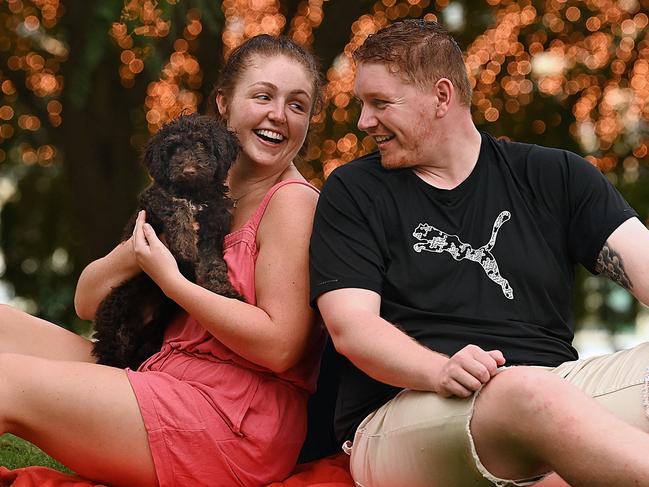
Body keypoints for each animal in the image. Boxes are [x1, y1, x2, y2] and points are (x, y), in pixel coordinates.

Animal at [91, 113, 240, 370]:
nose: (188, 170)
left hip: (153, 333)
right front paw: (184, 243)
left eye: (202, 144)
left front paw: (224, 291)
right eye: (174, 148)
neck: (194, 193)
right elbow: (175, 205)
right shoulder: (153, 199)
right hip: (117, 314)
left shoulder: (212, 231)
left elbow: (213, 264)